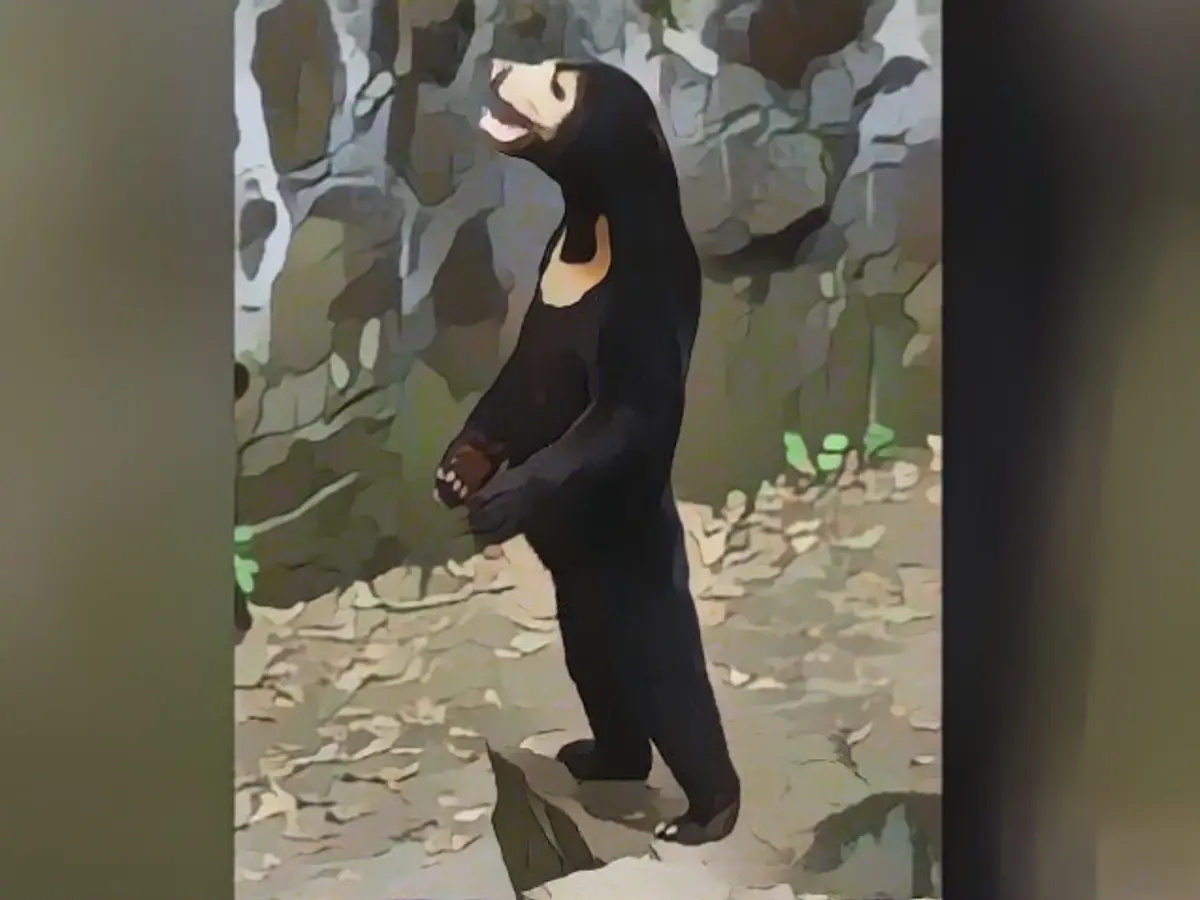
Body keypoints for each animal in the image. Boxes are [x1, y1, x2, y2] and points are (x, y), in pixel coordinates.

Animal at [433, 57, 740, 845]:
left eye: (558, 88)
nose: (497, 66)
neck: (590, 229)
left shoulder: (642, 296)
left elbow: (624, 412)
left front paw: (497, 502)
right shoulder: (547, 291)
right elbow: (514, 387)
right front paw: (456, 474)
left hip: (633, 566)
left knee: (672, 683)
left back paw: (705, 815)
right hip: (579, 601)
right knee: (598, 673)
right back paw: (598, 757)